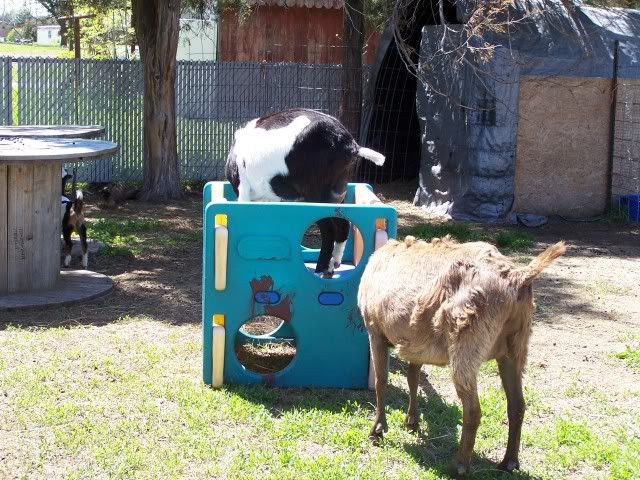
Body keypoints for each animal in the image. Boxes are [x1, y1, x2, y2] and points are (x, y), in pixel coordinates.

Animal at [225, 108, 385, 277]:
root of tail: (351, 145)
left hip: (317, 197)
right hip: (337, 196)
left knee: (329, 231)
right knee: (343, 225)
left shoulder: (243, 191)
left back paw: (321, 268)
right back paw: (334, 264)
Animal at [357, 235, 566, 478]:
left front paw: (377, 430)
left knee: (473, 410)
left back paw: (459, 466)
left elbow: (381, 381)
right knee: (517, 404)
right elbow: (413, 379)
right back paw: (509, 462)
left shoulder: (374, 330)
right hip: (516, 345)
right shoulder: (414, 343)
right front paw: (412, 422)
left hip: (466, 342)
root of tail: (518, 277)